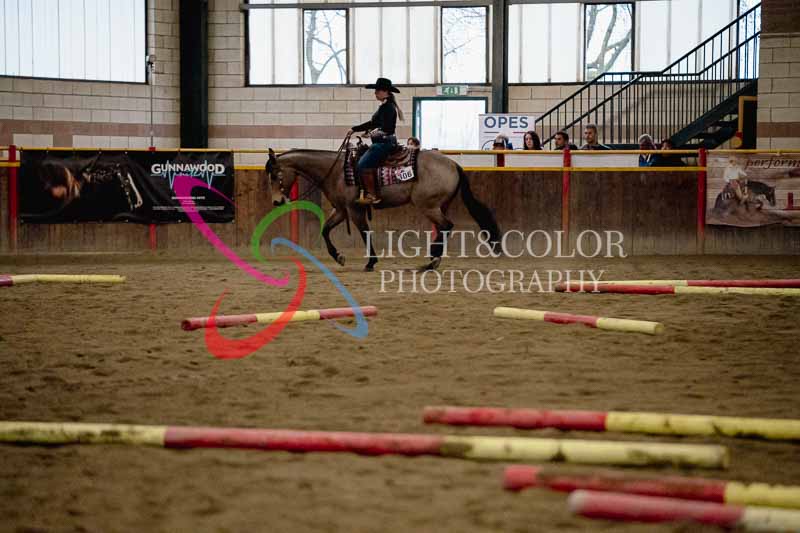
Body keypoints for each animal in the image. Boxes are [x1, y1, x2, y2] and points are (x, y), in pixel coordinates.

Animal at [265, 146, 501, 271]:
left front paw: (370, 262)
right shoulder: (341, 210)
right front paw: (338, 256)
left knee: (446, 226)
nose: (276, 201)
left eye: (275, 175)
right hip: (440, 205)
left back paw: (432, 259)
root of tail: (453, 164)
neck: (337, 171)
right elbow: (325, 230)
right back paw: (432, 260)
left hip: (428, 205)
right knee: (444, 228)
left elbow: (364, 233)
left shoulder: (354, 209)